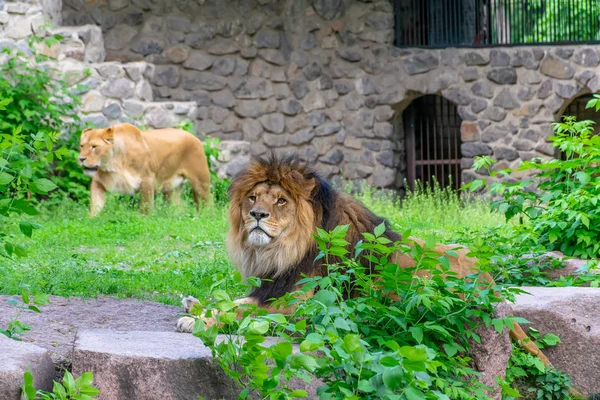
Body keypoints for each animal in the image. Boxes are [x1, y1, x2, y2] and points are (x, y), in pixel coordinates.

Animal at [78, 122, 211, 216]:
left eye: (94, 146)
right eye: (82, 146)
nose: (81, 159)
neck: (113, 163)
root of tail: (194, 136)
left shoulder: (147, 180)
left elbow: (146, 206)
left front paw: (144, 219)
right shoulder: (99, 181)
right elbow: (96, 204)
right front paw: (91, 219)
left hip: (200, 182)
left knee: (208, 201)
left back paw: (206, 216)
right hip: (171, 190)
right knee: (177, 207)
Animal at [178, 155, 564, 388]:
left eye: (281, 201)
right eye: (253, 198)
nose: (256, 215)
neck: (281, 252)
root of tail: (490, 283)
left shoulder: (295, 305)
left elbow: (244, 311)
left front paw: (199, 320)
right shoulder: (272, 287)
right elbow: (234, 301)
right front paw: (193, 306)